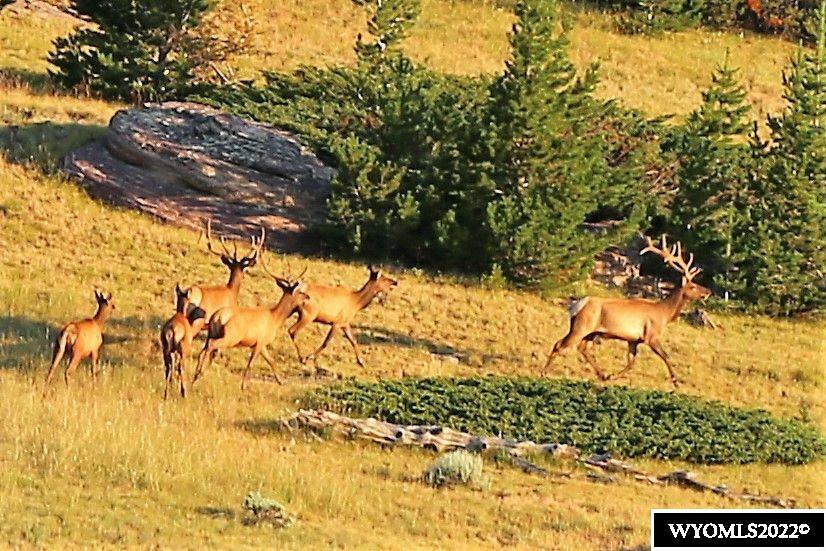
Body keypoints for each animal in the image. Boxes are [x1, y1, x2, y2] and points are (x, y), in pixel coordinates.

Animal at [192, 252, 310, 390]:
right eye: (300, 292)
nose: (308, 296)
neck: (275, 319)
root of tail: (217, 317)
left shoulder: (262, 344)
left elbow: (271, 361)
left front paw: (280, 381)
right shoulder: (259, 342)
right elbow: (251, 363)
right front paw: (243, 385)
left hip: (211, 333)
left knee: (203, 349)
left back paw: (196, 375)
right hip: (231, 337)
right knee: (211, 346)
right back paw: (199, 373)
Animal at [544, 236, 712, 388]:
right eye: (693, 286)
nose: (707, 291)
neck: (664, 314)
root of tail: (577, 304)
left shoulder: (633, 340)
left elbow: (631, 362)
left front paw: (613, 376)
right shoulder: (651, 336)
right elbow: (666, 356)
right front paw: (676, 381)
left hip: (590, 332)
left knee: (581, 348)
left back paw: (603, 374)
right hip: (581, 327)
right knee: (560, 345)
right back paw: (544, 372)